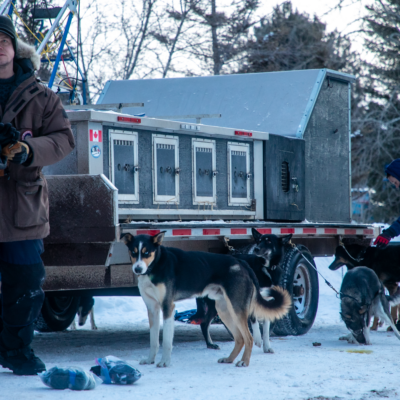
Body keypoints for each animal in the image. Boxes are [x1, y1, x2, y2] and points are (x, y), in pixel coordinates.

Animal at [119, 230, 290, 368]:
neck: (155, 266)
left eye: (147, 252)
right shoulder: (152, 309)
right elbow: (153, 340)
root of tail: (241, 262)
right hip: (224, 310)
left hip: (236, 309)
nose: (138, 269)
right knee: (239, 338)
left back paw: (244, 362)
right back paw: (229, 359)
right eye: (133, 252)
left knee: (248, 338)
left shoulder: (168, 307)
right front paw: (150, 360)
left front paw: (165, 362)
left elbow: (166, 341)